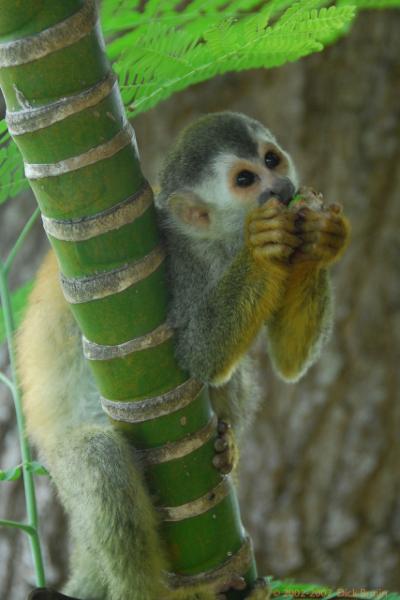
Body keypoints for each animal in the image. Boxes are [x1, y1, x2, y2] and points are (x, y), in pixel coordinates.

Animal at [17, 110, 350, 596]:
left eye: (272, 159)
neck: (214, 243)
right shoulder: (178, 266)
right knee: (99, 459)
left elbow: (287, 362)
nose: (282, 188)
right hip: (61, 472)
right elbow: (196, 356)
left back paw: (226, 446)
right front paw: (261, 246)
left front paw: (323, 236)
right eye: (246, 179)